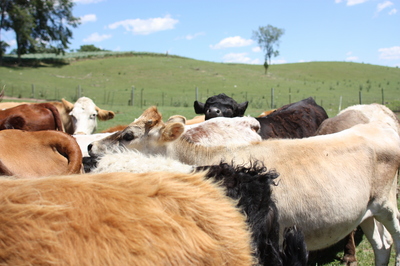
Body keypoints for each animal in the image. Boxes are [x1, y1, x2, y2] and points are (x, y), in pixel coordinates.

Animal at [88, 106, 400, 266]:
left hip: (387, 206)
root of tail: (377, 125)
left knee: (394, 238)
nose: (90, 146)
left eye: (128, 135)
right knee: (382, 245)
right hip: (365, 212)